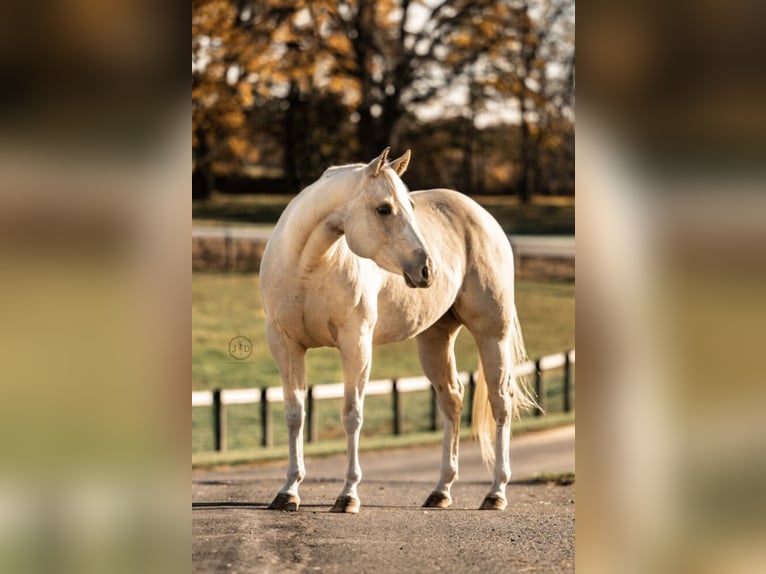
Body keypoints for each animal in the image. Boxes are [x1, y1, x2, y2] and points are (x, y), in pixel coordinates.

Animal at [260, 147, 537, 513]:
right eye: (384, 209)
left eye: (410, 207)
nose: (427, 269)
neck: (310, 268)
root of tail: (482, 216)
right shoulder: (285, 345)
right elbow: (295, 414)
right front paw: (289, 491)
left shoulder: (356, 344)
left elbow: (352, 414)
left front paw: (348, 494)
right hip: (435, 338)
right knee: (452, 398)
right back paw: (441, 490)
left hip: (493, 334)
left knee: (500, 401)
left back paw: (496, 492)